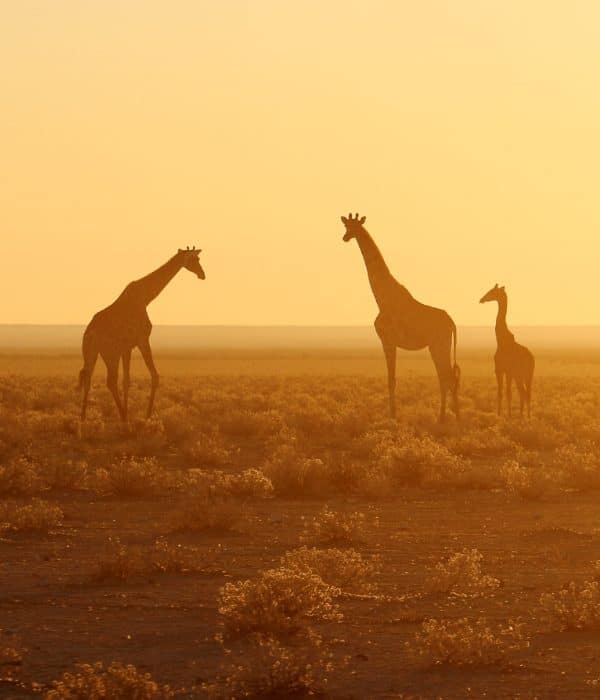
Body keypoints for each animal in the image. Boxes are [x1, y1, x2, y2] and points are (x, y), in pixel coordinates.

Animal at [78, 246, 205, 422]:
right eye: (194, 259)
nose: (202, 274)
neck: (146, 298)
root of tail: (89, 333)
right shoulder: (142, 339)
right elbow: (154, 376)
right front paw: (147, 415)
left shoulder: (127, 348)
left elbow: (127, 381)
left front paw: (129, 412)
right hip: (110, 353)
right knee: (109, 381)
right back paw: (121, 416)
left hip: (91, 352)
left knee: (87, 377)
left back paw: (84, 418)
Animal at [342, 213, 460, 422]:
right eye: (346, 226)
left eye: (354, 227)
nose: (345, 237)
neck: (381, 298)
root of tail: (452, 323)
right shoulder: (390, 342)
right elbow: (392, 378)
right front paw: (393, 414)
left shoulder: (388, 340)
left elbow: (391, 379)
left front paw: (392, 415)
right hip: (438, 346)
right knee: (445, 378)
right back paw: (445, 417)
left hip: (439, 345)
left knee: (448, 378)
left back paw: (451, 419)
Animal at [478, 284, 536, 418]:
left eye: (492, 291)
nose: (481, 299)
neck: (500, 340)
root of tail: (531, 359)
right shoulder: (508, 372)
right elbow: (508, 393)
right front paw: (508, 415)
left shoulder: (500, 369)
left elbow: (502, 393)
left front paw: (501, 415)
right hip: (527, 375)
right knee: (526, 393)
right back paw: (527, 417)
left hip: (520, 375)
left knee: (523, 393)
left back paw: (522, 417)